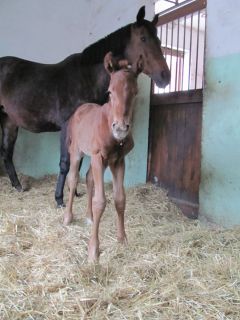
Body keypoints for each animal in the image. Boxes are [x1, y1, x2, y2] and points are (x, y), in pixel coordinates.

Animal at [63, 52, 142, 262]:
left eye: (135, 93)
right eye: (110, 92)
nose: (121, 128)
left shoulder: (117, 161)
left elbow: (120, 199)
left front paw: (122, 239)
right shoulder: (98, 157)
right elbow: (100, 201)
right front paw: (93, 251)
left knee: (89, 178)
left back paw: (89, 217)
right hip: (77, 151)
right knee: (73, 178)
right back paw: (67, 217)